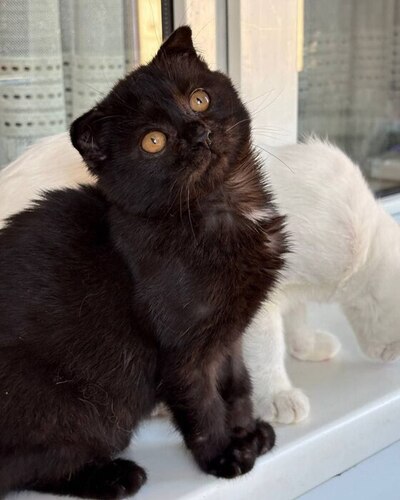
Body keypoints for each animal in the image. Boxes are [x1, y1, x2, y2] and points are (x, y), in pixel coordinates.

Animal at [0, 26, 285, 498]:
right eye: (154, 141)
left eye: (199, 99)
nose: (199, 132)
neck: (223, 205)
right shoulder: (182, 351)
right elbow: (202, 404)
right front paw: (223, 456)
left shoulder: (228, 335)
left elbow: (237, 384)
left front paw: (247, 433)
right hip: (76, 407)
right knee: (34, 465)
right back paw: (115, 476)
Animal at [3, 133, 400, 428]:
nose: (392, 362)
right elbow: (267, 349)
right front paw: (277, 395)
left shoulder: (289, 289)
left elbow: (297, 319)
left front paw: (307, 346)